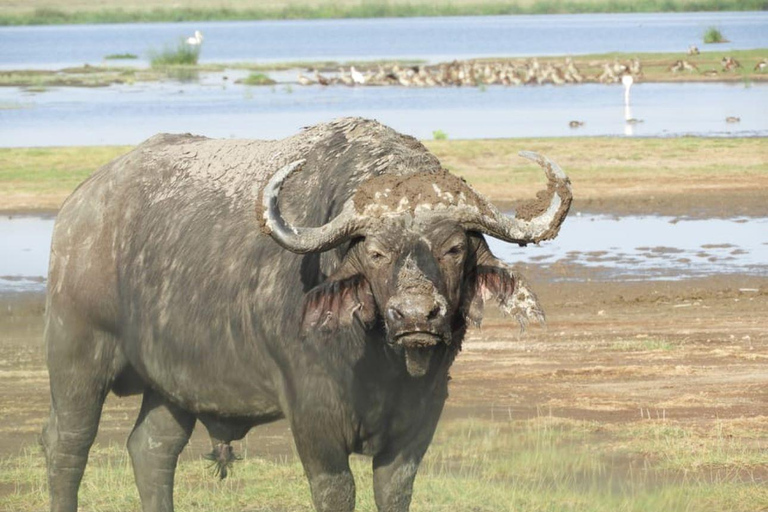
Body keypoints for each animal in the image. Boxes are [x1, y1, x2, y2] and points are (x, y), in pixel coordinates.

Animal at [43, 118, 568, 510]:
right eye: (375, 252)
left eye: (454, 248)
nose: (416, 315)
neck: (379, 362)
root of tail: (78, 209)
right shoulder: (313, 415)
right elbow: (337, 492)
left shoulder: (422, 414)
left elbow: (394, 491)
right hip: (76, 357)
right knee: (67, 443)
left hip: (172, 385)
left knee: (152, 449)